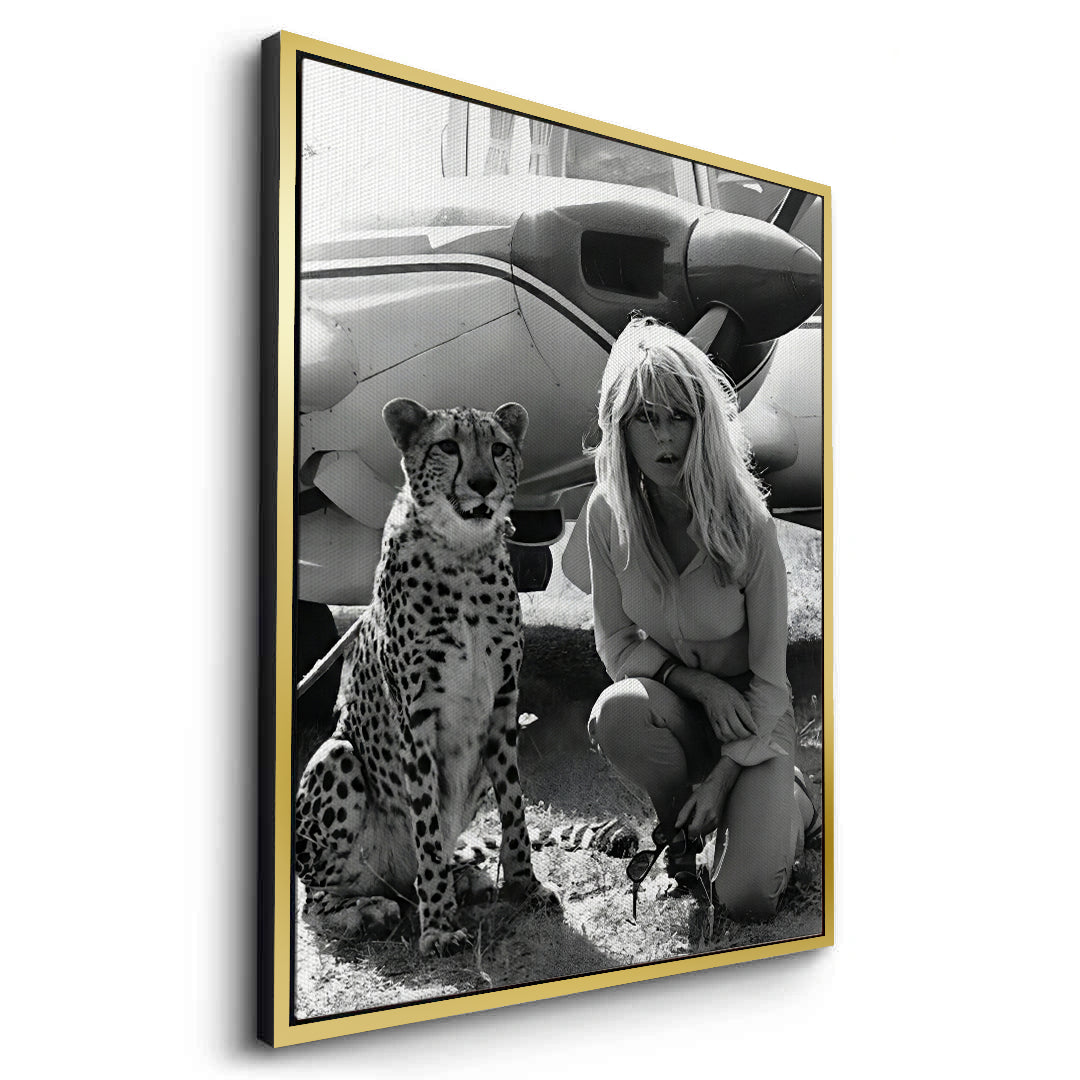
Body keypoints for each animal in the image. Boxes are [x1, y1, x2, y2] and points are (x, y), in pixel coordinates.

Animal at [294, 398, 560, 956]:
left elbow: (515, 811)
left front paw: (526, 887)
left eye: (499, 448)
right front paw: (438, 924)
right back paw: (365, 909)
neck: (463, 555)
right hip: (338, 755)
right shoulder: (416, 719)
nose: (482, 483)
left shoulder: (505, 707)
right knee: (318, 898)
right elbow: (427, 821)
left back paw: (464, 876)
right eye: (447, 447)